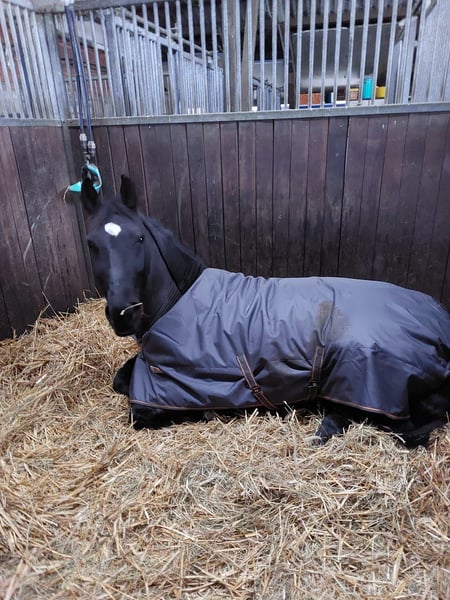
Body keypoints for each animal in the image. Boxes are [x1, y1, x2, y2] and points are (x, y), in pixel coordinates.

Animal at [80, 174, 450, 447]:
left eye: (139, 238)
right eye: (91, 243)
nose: (124, 312)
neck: (178, 301)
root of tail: (440, 325)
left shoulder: (169, 393)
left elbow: (137, 410)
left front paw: (208, 414)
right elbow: (120, 378)